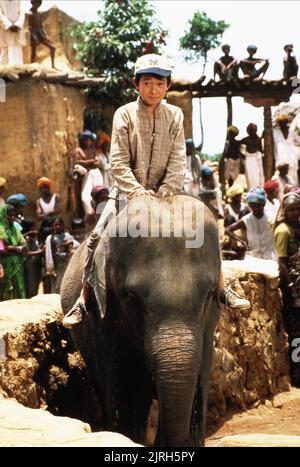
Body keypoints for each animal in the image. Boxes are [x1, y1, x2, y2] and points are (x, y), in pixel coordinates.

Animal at [61, 194, 221, 446]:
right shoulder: (103, 316)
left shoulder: (208, 326)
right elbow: (122, 391)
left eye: (209, 295)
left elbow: (199, 387)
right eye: (131, 297)